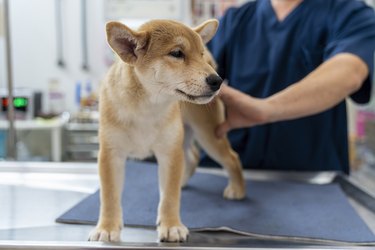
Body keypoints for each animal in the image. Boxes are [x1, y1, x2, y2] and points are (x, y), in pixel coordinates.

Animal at [89, 19, 245, 242]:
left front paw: (171, 226)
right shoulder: (111, 153)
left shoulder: (169, 152)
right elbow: (109, 195)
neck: (146, 107)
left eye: (200, 55)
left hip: (207, 135)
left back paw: (237, 188)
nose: (217, 81)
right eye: (177, 53)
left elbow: (170, 196)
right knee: (193, 156)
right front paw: (107, 227)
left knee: (232, 157)